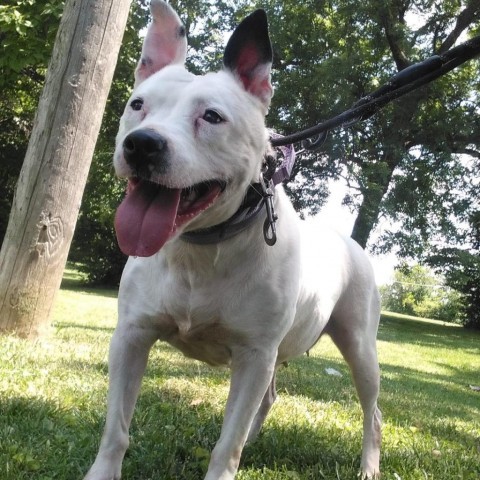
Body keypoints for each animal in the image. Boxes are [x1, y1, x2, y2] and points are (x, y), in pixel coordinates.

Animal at [84, 1, 380, 478]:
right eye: (137, 105)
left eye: (212, 116)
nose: (141, 144)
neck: (199, 248)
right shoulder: (130, 337)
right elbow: (116, 429)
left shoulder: (254, 356)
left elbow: (228, 444)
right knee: (270, 397)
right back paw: (258, 438)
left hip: (359, 346)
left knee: (372, 409)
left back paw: (369, 463)